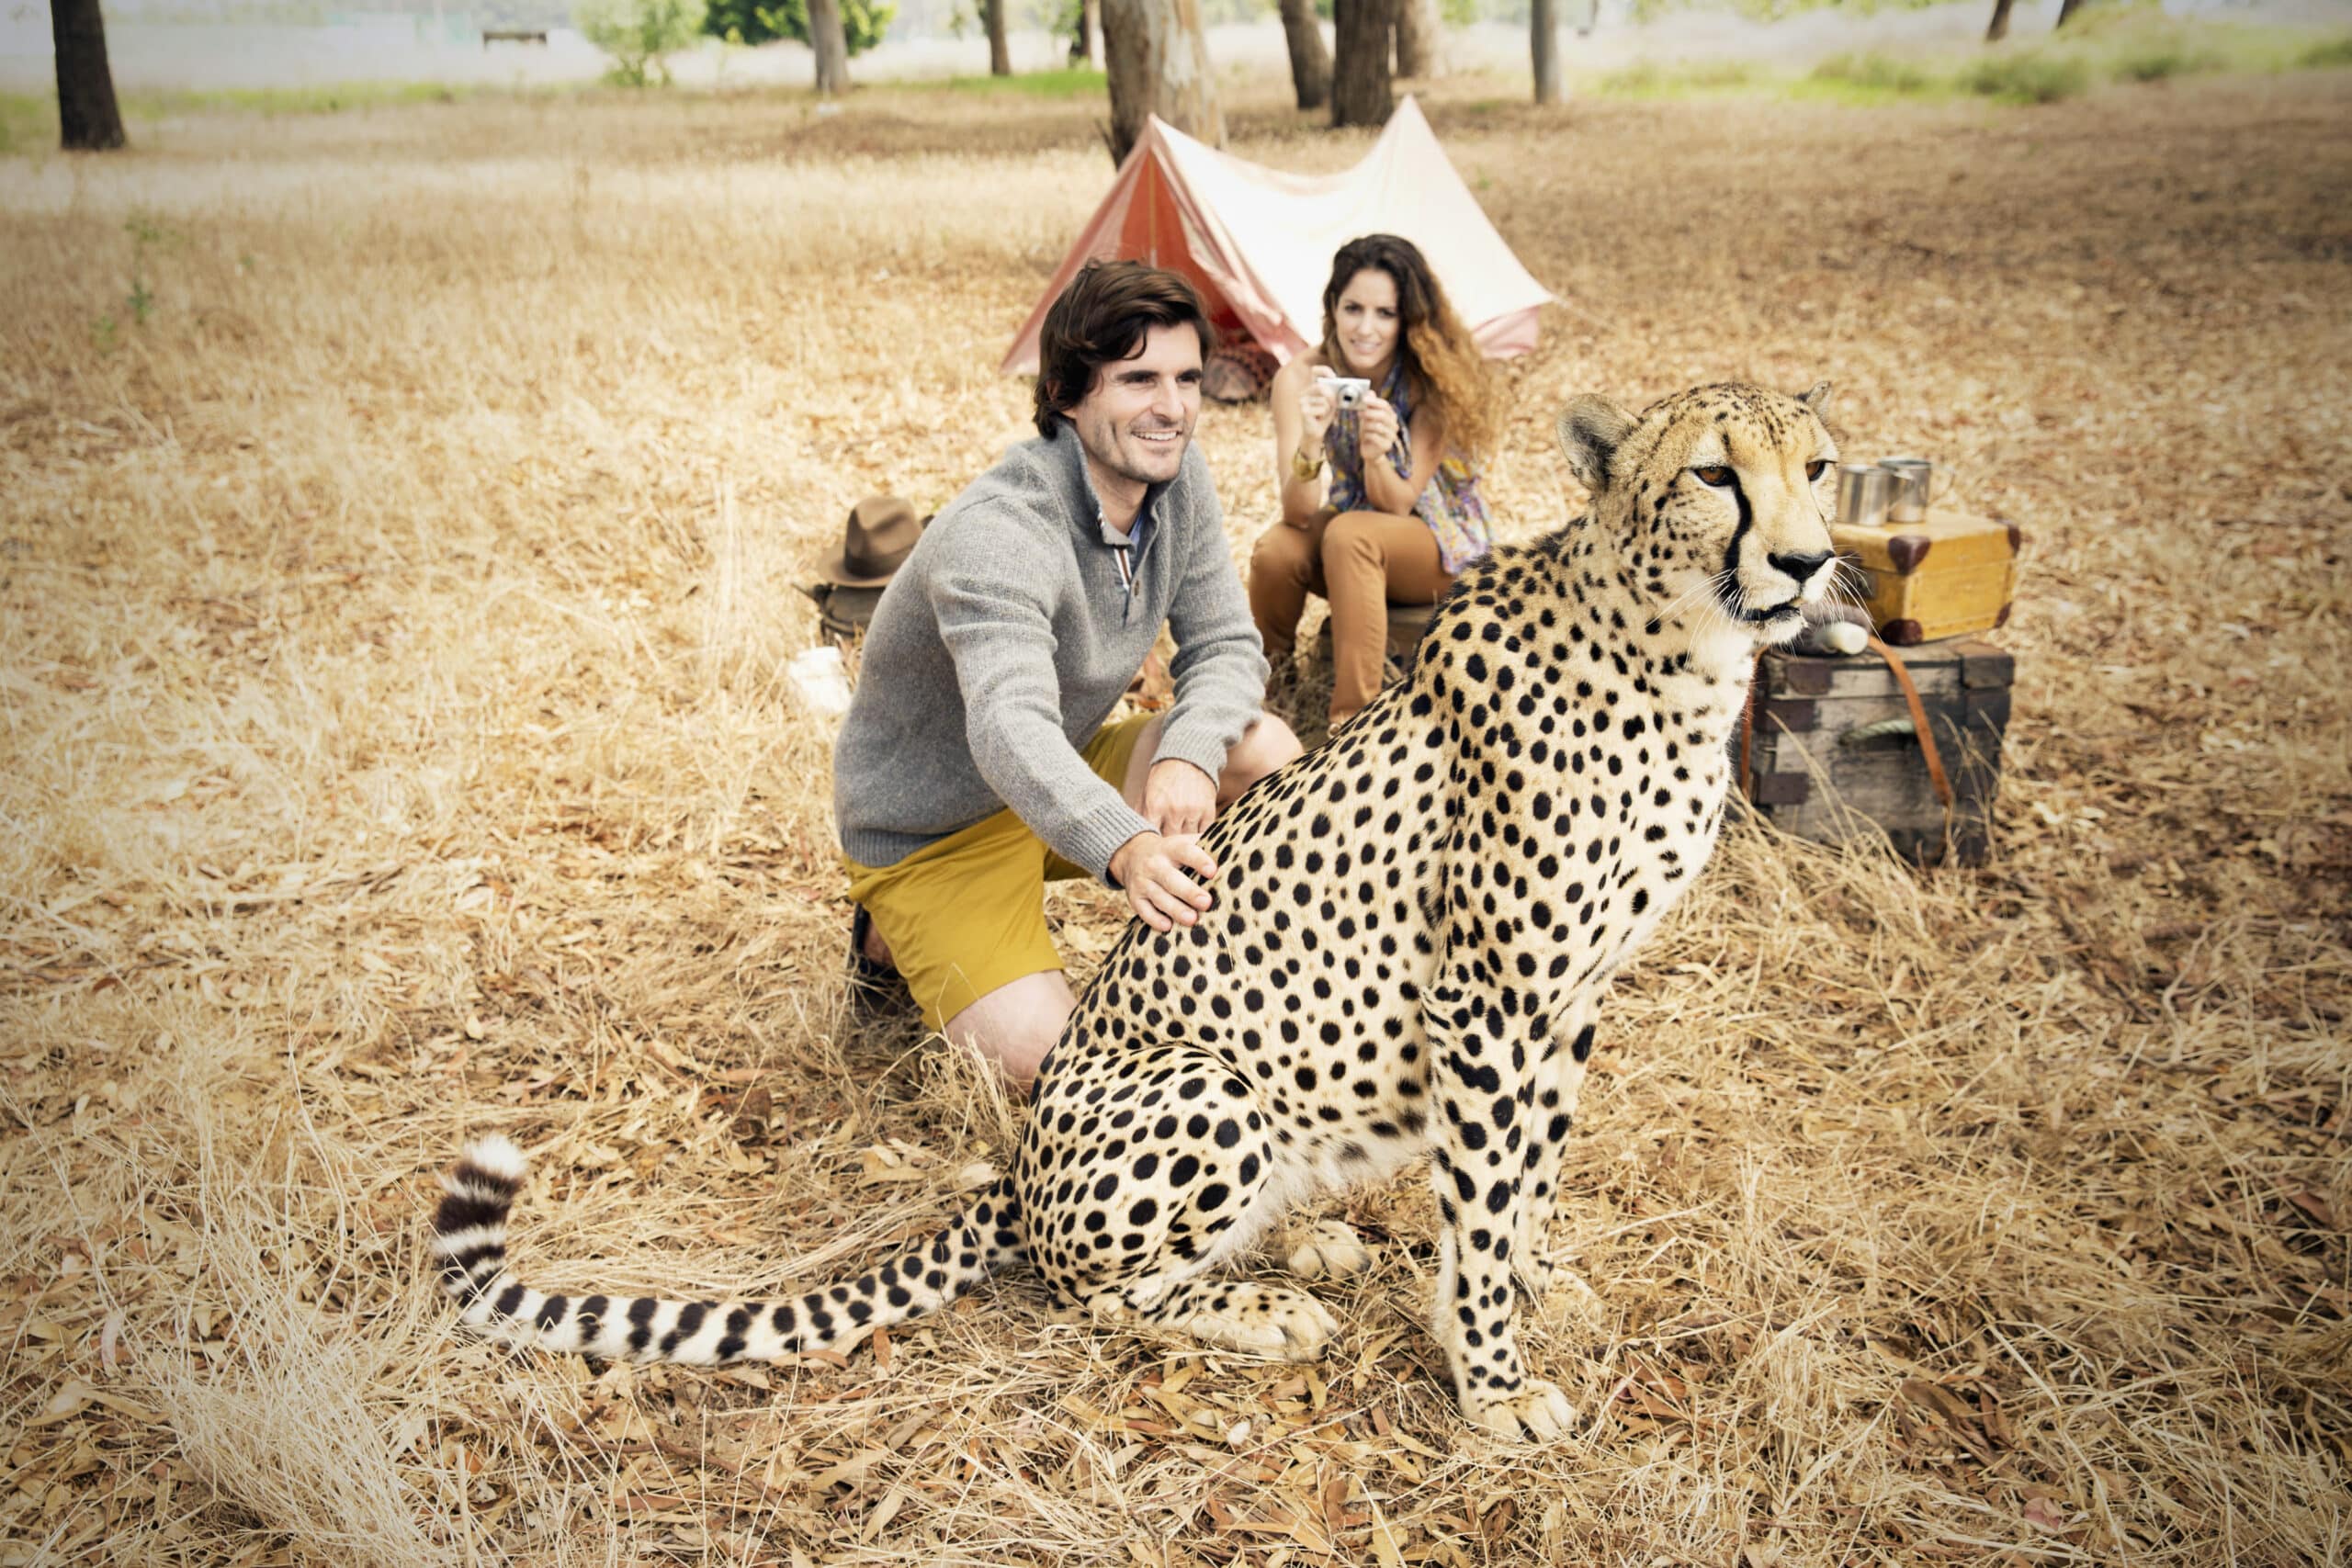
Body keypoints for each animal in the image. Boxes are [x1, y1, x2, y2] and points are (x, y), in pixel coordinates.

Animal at [433, 385, 1844, 1438]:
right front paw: (1493, 1380)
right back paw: (1266, 1305)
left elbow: (1530, 1175)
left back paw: (1305, 1244)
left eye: (1820, 466)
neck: (1678, 657)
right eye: (1716, 477)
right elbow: (1489, 1196)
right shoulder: (1487, 998)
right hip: (1206, 1082)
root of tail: (1019, 1163)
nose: (1809, 559)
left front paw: (1534, 1289)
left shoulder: (1570, 995)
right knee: (1092, 1291)